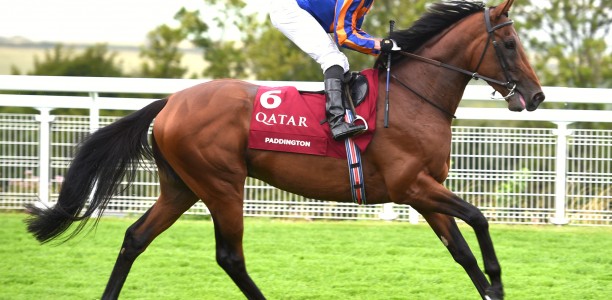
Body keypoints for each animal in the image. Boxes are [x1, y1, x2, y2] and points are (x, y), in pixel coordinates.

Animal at [27, 1, 544, 298]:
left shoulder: (423, 191)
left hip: (181, 187)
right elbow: (479, 219)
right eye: (510, 43)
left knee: (136, 238)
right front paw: (500, 278)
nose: (537, 96)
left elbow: (462, 252)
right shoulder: (411, 185)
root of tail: (171, 101)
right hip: (221, 184)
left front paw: (491, 288)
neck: (415, 96)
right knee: (230, 256)